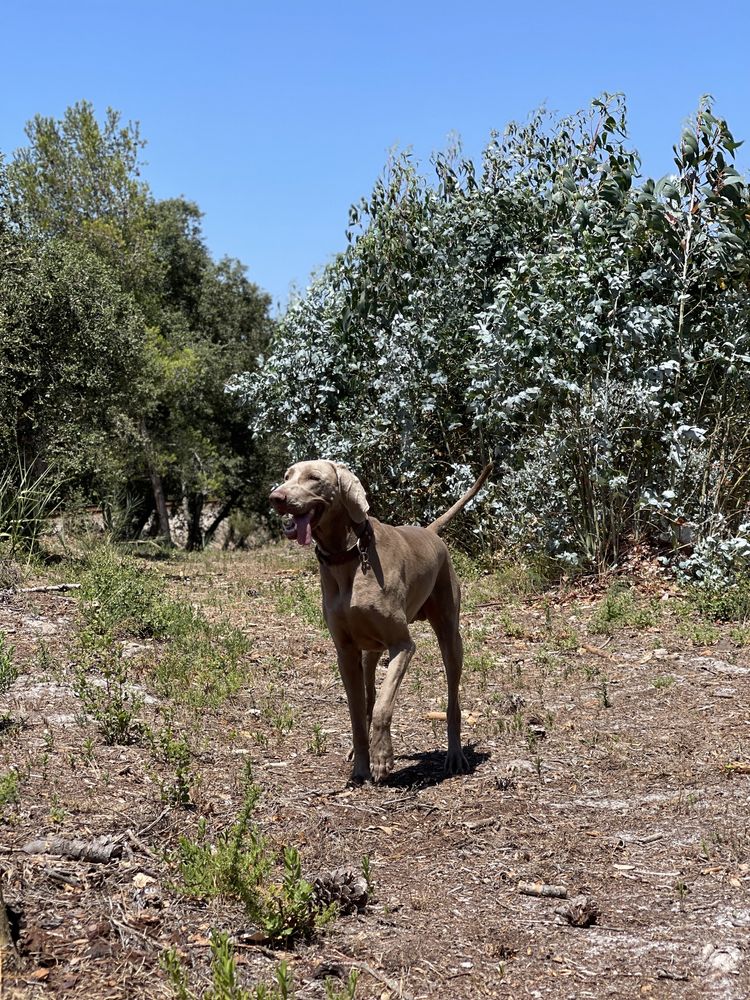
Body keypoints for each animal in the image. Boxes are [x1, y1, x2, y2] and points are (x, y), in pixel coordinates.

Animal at [270, 460, 494, 780]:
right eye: (286, 476)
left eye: (314, 478)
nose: (275, 497)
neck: (349, 556)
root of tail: (430, 532)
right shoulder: (346, 652)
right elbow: (357, 711)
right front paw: (361, 765)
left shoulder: (402, 646)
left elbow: (383, 707)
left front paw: (382, 759)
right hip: (370, 652)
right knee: (369, 696)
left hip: (449, 635)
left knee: (452, 699)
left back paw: (455, 755)